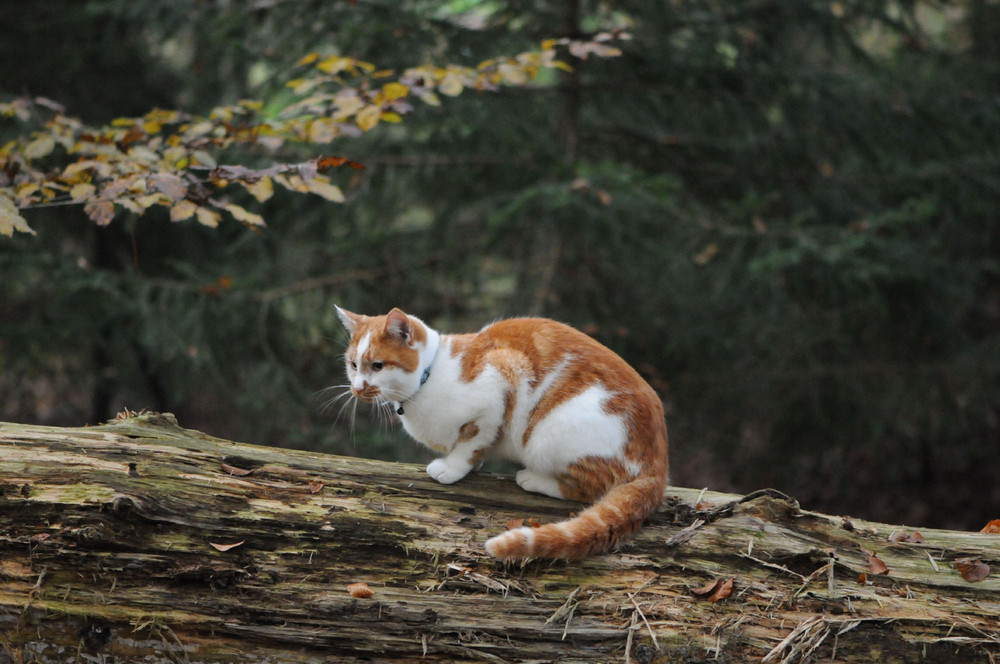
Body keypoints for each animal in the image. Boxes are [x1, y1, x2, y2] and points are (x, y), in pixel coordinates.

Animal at [336, 308, 672, 560]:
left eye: (377, 366)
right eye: (353, 365)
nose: (358, 388)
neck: (429, 377)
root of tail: (658, 466)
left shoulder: (499, 384)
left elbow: (471, 443)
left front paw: (452, 467)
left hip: (548, 435)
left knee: (589, 487)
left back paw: (533, 479)